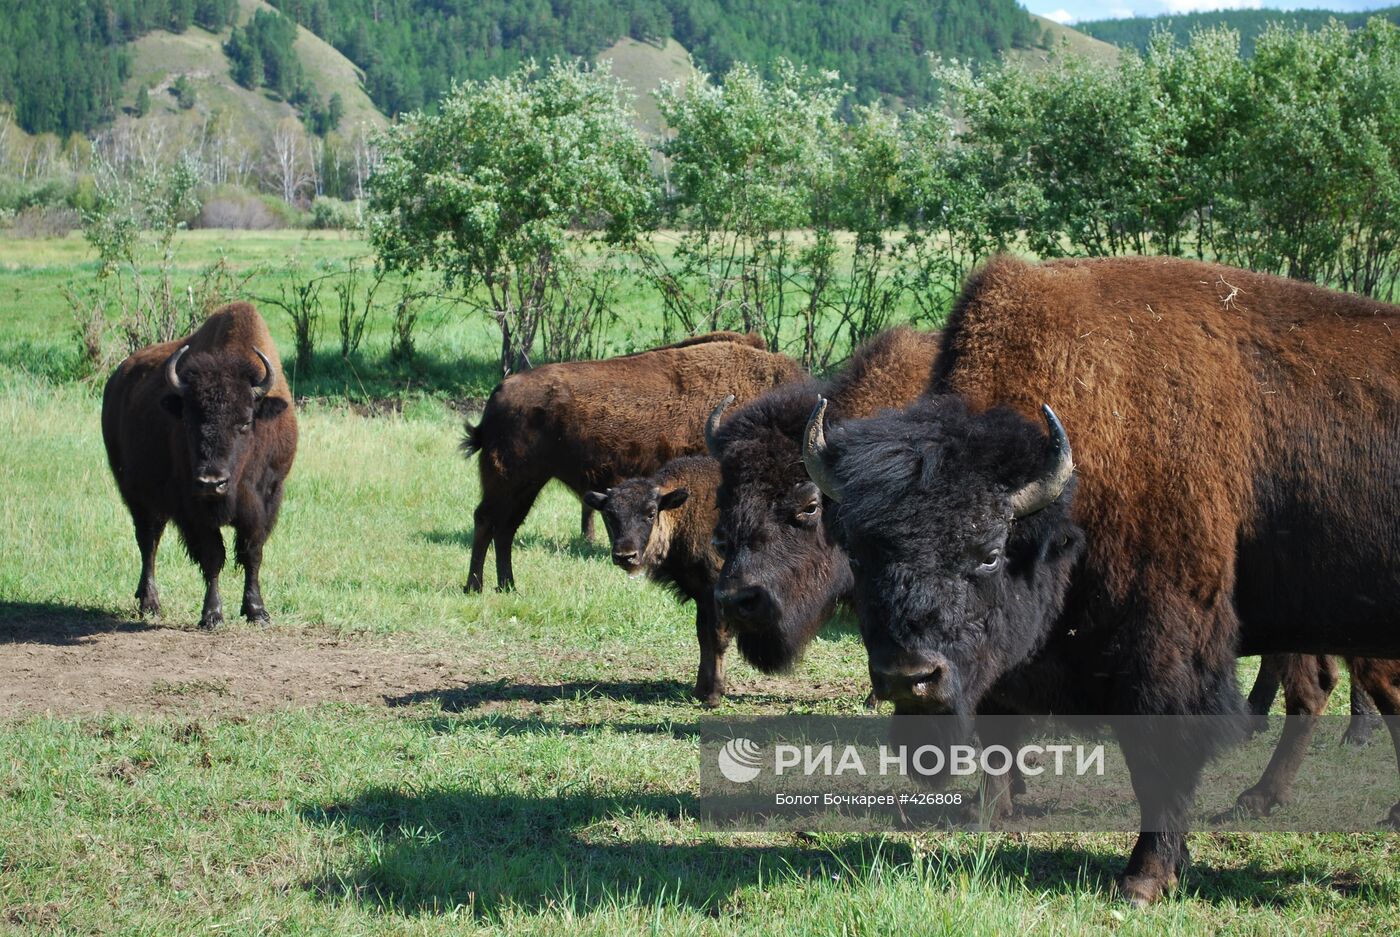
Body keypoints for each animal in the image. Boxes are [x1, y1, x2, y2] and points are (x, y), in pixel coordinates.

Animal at [100, 303, 298, 633]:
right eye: (189, 420)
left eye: (245, 422)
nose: (212, 481)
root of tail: (117, 378)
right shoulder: (194, 508)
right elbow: (212, 556)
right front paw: (212, 615)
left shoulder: (266, 500)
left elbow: (252, 553)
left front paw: (257, 612)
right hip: (137, 496)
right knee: (148, 542)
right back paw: (150, 604)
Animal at [464, 331, 806, 588]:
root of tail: (500, 392)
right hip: (510, 480)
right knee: (486, 521)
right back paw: (475, 586)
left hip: (527, 484)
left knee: (505, 528)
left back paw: (507, 586)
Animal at [582, 456, 728, 705]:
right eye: (610, 514)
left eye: (651, 513)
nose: (625, 555)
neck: (684, 509)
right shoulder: (701, 595)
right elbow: (703, 638)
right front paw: (699, 691)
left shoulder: (716, 593)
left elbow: (717, 638)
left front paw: (713, 696)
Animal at [800, 253, 1400, 896]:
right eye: (861, 555)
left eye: (990, 552)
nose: (911, 677)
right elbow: (999, 732)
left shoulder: (1162, 650)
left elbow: (1157, 759)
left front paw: (1144, 879)